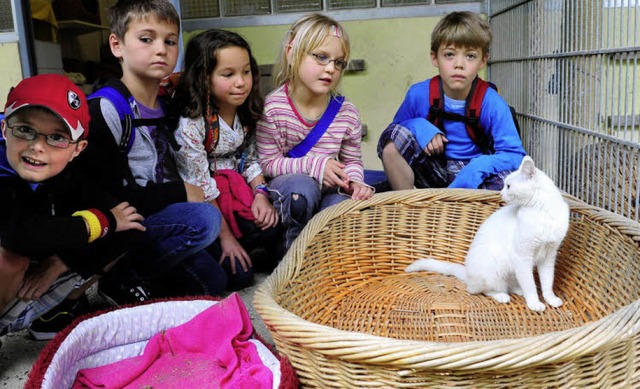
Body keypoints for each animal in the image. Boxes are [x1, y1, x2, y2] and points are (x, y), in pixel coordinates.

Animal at [408, 156, 568, 310]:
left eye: (508, 186)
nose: (501, 193)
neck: (543, 213)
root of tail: (468, 273)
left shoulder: (548, 257)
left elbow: (547, 282)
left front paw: (551, 299)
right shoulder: (522, 258)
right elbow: (530, 285)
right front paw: (534, 303)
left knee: (510, 284)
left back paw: (517, 289)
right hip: (492, 268)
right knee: (481, 290)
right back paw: (502, 295)